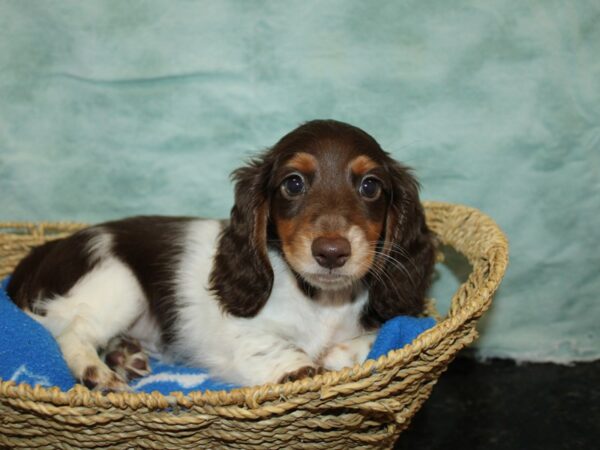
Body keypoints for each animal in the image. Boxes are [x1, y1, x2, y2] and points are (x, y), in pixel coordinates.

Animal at [5, 119, 436, 390]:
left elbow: (378, 337)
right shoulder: (243, 340)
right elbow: (287, 356)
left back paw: (123, 354)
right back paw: (95, 370)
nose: (331, 253)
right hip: (118, 283)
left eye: (370, 186)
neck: (321, 302)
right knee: (70, 332)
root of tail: (46, 250)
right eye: (293, 183)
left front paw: (343, 351)